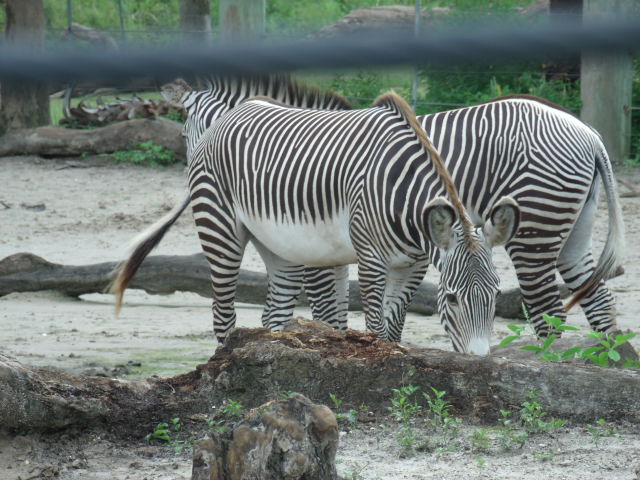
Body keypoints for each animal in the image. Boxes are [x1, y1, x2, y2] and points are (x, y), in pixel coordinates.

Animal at [112, 83, 520, 354]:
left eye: (497, 294)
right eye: (451, 298)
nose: (479, 362)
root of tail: (235, 113)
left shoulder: (413, 265)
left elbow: (391, 330)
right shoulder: (368, 258)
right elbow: (366, 327)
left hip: (281, 247)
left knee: (274, 316)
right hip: (220, 228)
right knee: (224, 316)